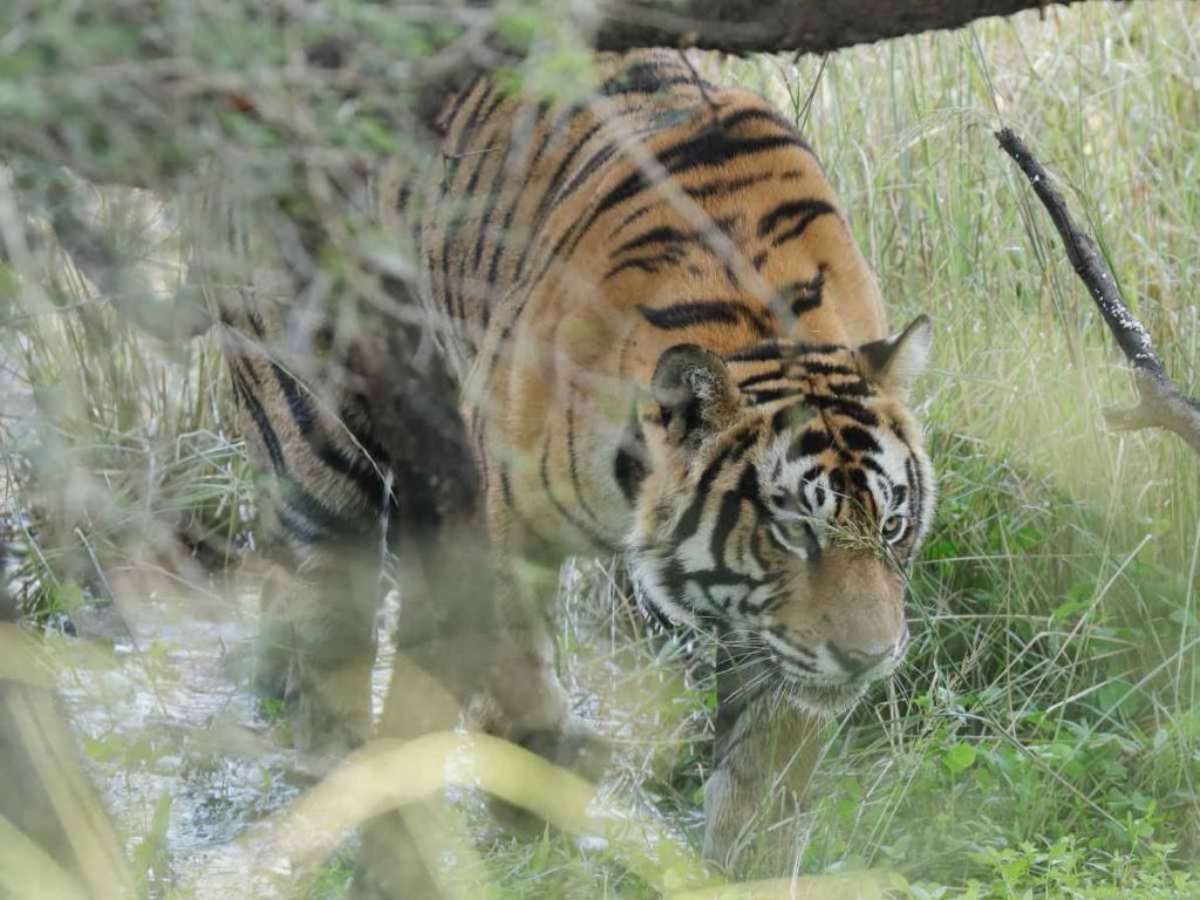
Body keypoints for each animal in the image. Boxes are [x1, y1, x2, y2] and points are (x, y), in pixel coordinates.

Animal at [208, 47, 936, 883]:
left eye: (892, 525)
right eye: (792, 533)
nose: (868, 660)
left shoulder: (778, 640)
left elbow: (764, 771)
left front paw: (741, 866)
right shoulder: (496, 515)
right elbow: (515, 670)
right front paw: (541, 781)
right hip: (313, 423)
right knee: (328, 611)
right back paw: (340, 778)